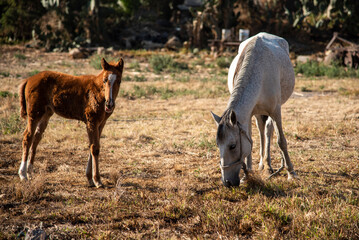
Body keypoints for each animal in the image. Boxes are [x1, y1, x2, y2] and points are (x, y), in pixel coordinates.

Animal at [18, 57, 125, 188]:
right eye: (105, 80)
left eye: (119, 81)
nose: (109, 104)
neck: (97, 91)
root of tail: (28, 79)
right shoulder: (91, 122)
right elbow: (94, 148)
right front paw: (97, 180)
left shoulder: (101, 124)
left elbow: (93, 146)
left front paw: (89, 178)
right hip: (34, 113)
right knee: (27, 137)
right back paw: (23, 174)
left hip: (46, 114)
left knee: (36, 138)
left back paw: (30, 173)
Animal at [212, 32, 296, 188]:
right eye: (217, 144)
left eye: (232, 146)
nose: (227, 182)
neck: (260, 73)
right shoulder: (247, 115)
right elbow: (250, 142)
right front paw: (247, 174)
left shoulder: (276, 111)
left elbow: (281, 141)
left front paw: (291, 173)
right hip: (257, 113)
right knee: (262, 130)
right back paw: (263, 164)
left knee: (268, 130)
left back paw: (268, 166)